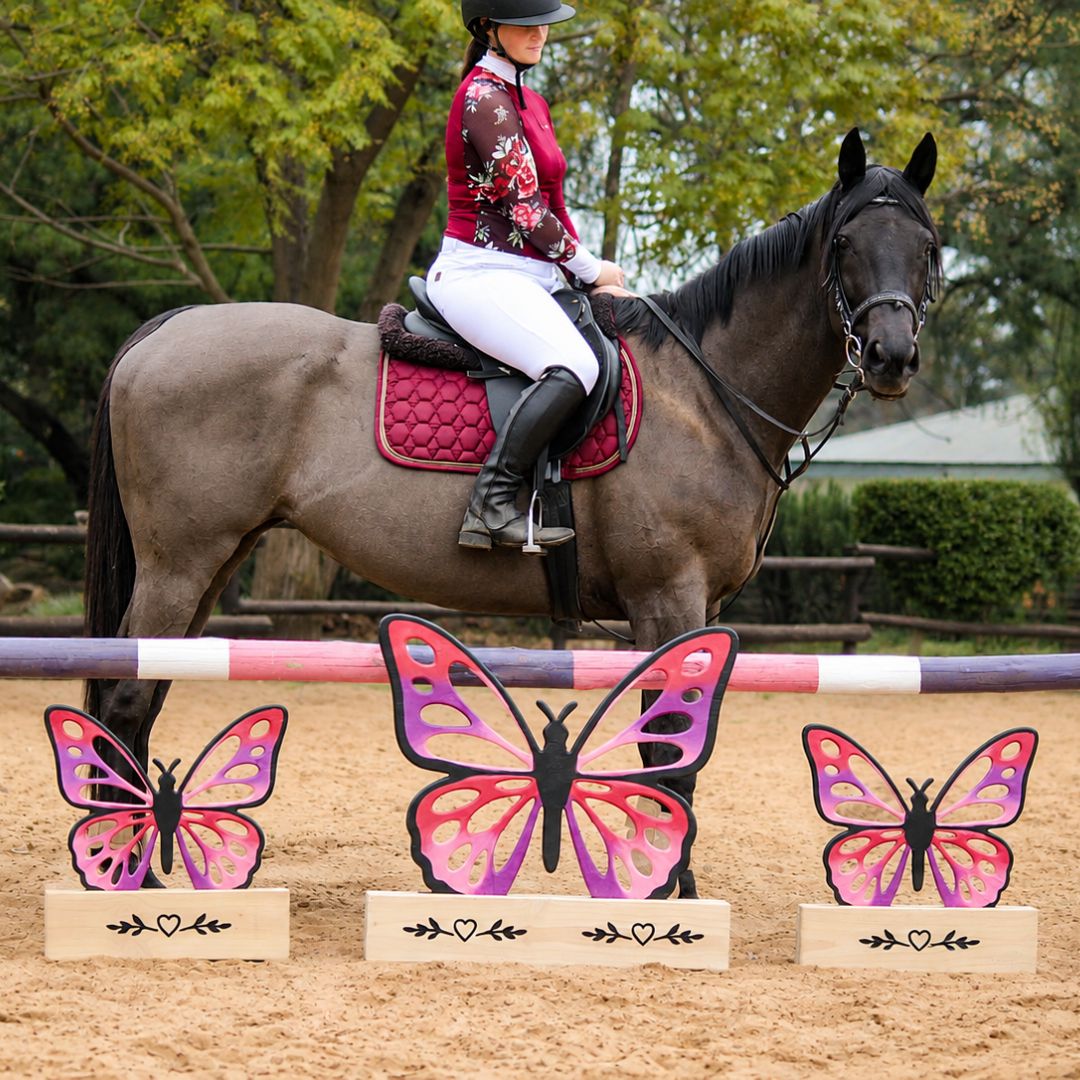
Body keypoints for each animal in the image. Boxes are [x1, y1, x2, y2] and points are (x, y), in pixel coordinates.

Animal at [83, 128, 940, 897]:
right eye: (846, 242)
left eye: (927, 246)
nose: (895, 358)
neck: (703, 392)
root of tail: (167, 328)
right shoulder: (668, 600)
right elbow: (668, 751)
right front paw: (672, 893)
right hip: (178, 566)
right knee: (123, 699)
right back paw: (128, 878)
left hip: (211, 565)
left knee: (142, 696)